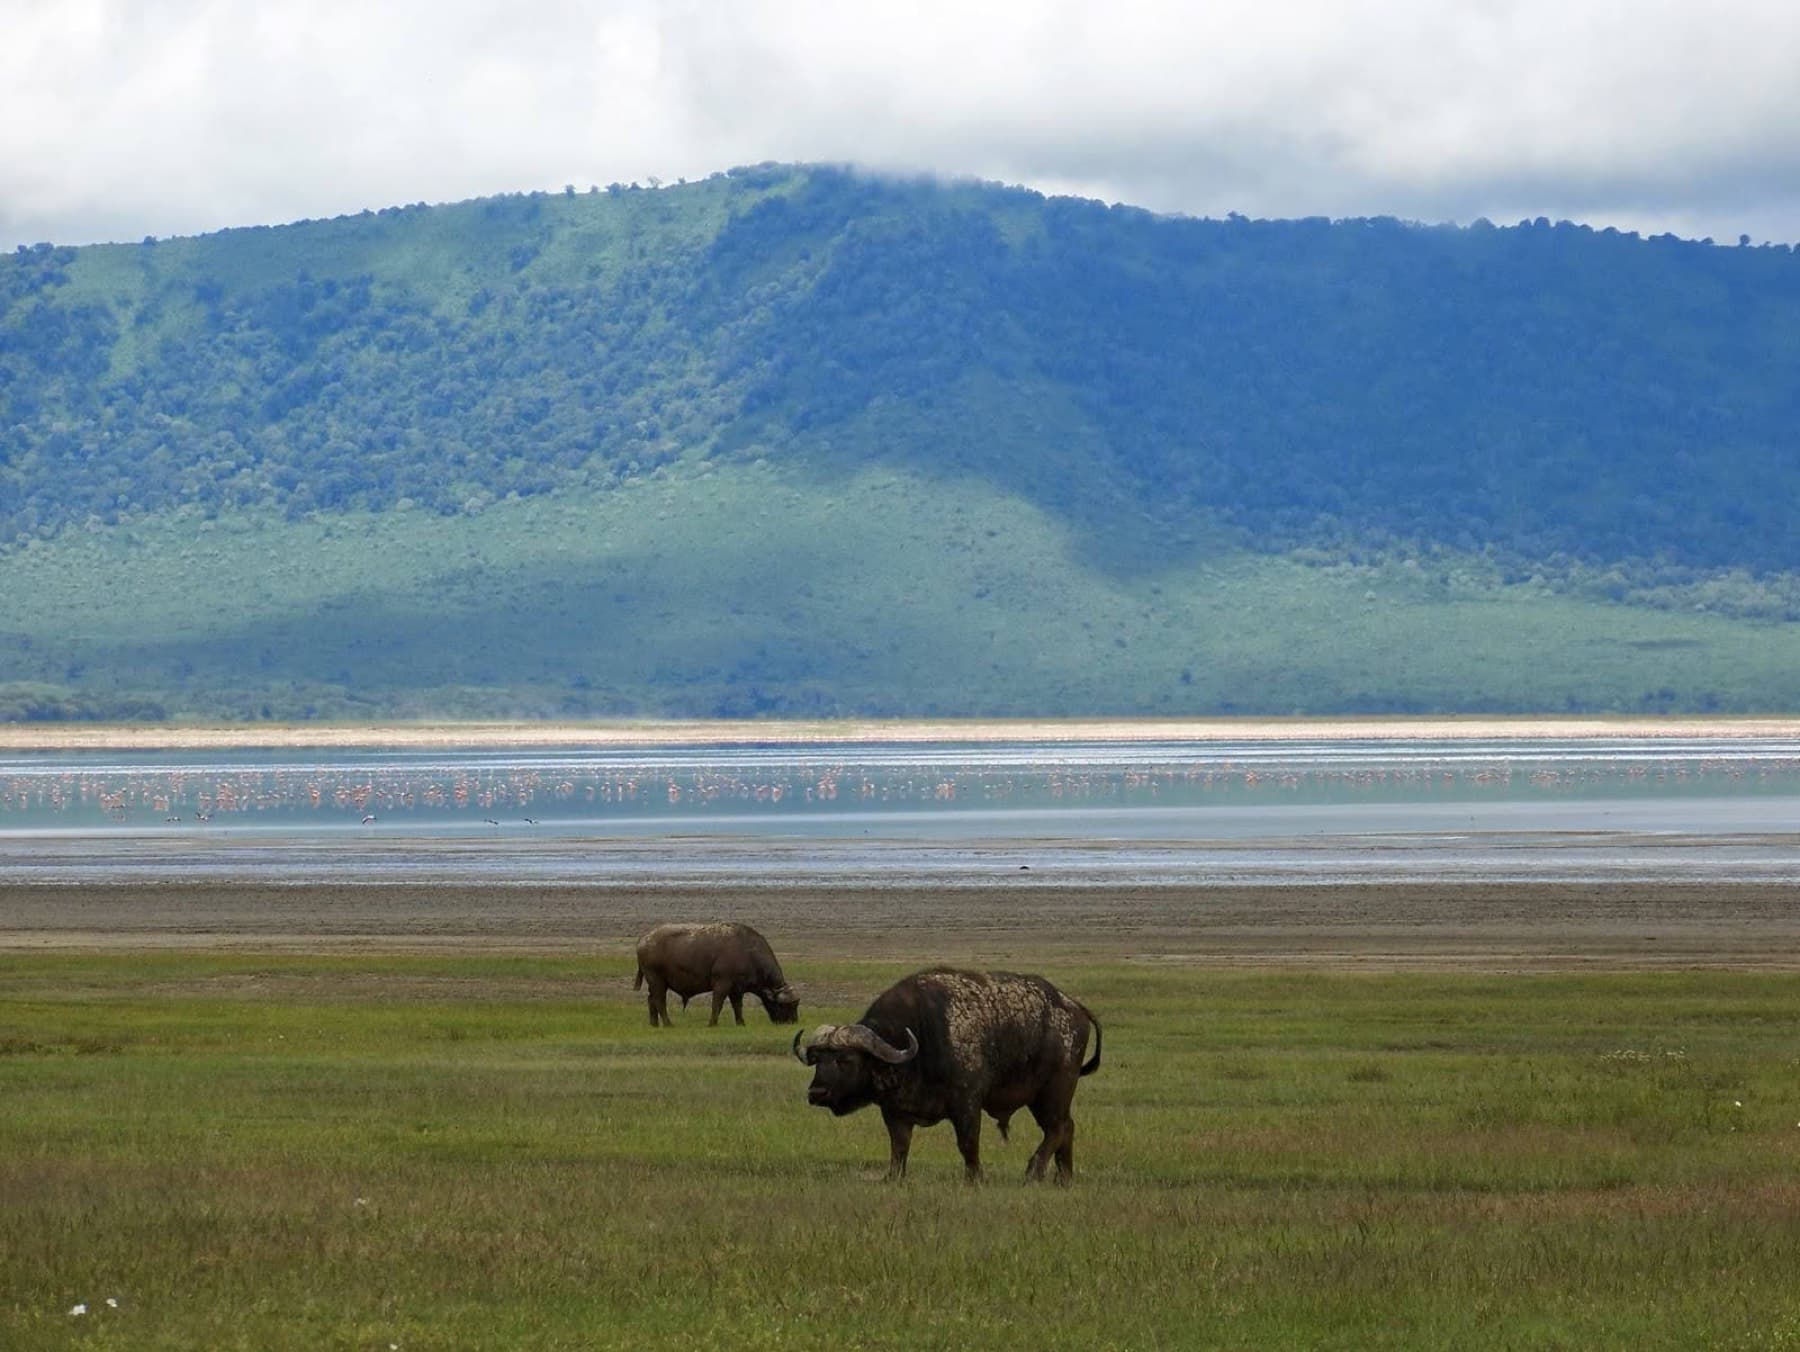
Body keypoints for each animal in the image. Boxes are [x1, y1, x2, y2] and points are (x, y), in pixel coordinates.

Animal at [633, 922, 801, 1027]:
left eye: (796, 1005)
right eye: (784, 1005)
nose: (792, 1022)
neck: (747, 952)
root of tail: (644, 940)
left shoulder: (737, 989)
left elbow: (737, 1007)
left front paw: (741, 1023)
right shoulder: (722, 984)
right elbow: (717, 1004)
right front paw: (712, 1023)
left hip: (655, 983)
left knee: (651, 1000)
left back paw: (654, 1024)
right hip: (657, 981)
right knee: (660, 1001)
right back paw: (668, 1024)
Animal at [794, 967, 1101, 1183]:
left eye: (845, 1059)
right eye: (817, 1060)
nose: (816, 1093)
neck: (918, 1042)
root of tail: (1073, 1006)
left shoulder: (967, 1104)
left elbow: (968, 1144)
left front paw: (975, 1179)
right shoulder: (895, 1112)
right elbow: (899, 1148)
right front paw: (892, 1178)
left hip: (1054, 1091)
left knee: (1057, 1128)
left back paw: (1034, 1171)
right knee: (1066, 1128)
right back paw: (1063, 1177)